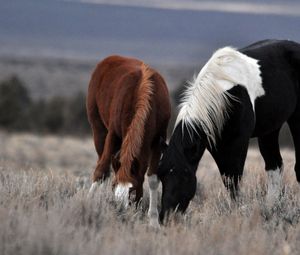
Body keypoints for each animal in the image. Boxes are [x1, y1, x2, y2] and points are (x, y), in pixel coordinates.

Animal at [86, 55, 171, 225]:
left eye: (132, 191)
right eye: (114, 187)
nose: (120, 212)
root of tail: (110, 58)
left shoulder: (158, 140)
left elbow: (152, 178)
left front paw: (153, 220)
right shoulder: (113, 134)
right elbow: (101, 169)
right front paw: (89, 202)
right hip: (98, 131)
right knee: (103, 165)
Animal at [158, 39, 300, 221]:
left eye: (184, 174)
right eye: (161, 175)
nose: (166, 216)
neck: (224, 94)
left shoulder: (238, 142)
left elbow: (234, 179)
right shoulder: (217, 145)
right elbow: (228, 180)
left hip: (296, 119)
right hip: (270, 129)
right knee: (274, 165)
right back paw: (271, 208)